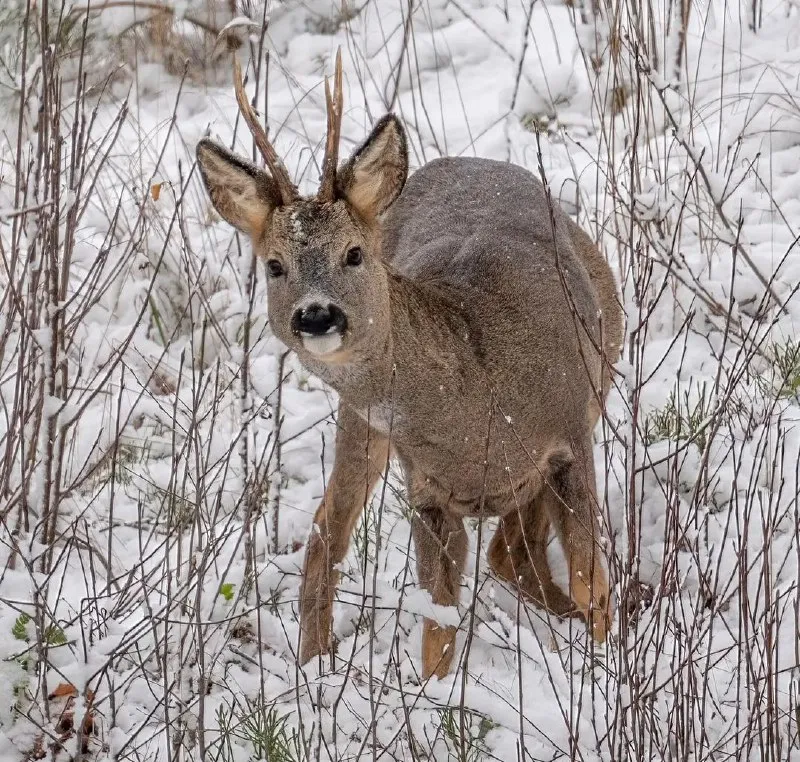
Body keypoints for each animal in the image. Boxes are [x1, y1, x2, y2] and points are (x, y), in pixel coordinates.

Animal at [197, 53, 620, 676]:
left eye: (353, 253)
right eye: (273, 266)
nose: (316, 315)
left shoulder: (569, 438)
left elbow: (596, 586)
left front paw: (606, 671)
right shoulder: (427, 492)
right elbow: (437, 629)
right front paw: (435, 692)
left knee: (511, 552)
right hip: (360, 424)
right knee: (330, 533)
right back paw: (314, 668)